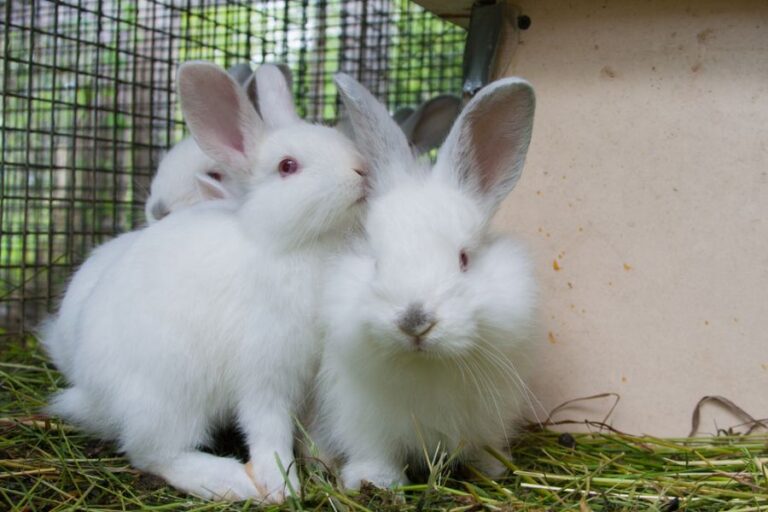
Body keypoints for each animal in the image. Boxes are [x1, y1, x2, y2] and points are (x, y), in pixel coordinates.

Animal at [311, 73, 538, 490]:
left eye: (464, 259)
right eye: (376, 260)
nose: (414, 322)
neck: (426, 365)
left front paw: (492, 468)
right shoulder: (363, 419)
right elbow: (375, 451)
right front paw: (374, 480)